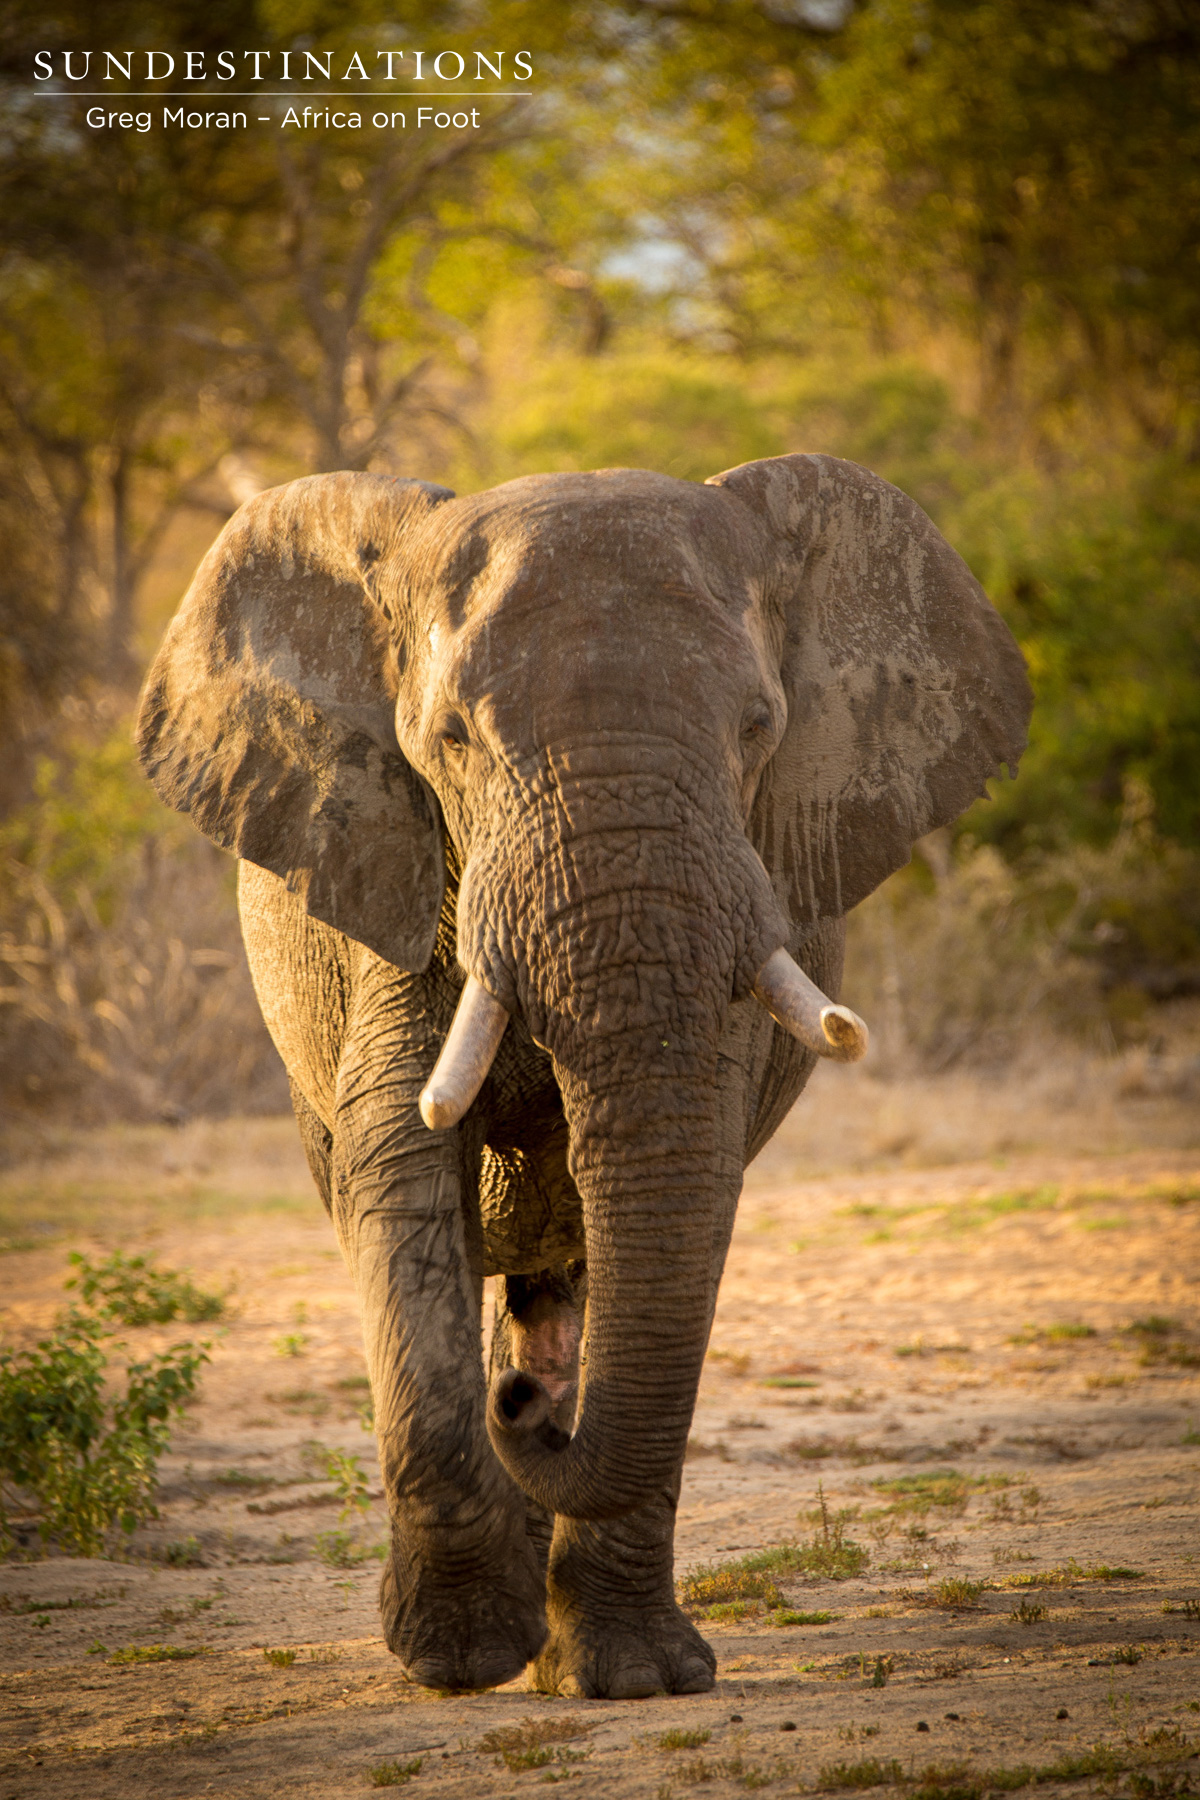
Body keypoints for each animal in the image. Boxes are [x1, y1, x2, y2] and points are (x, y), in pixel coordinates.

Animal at [136, 452, 1030, 1699]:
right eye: (451, 737)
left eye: (759, 727)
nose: (534, 1412)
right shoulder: (404, 880)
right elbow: (401, 1160)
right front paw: (459, 1661)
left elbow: (682, 1197)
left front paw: (635, 1680)